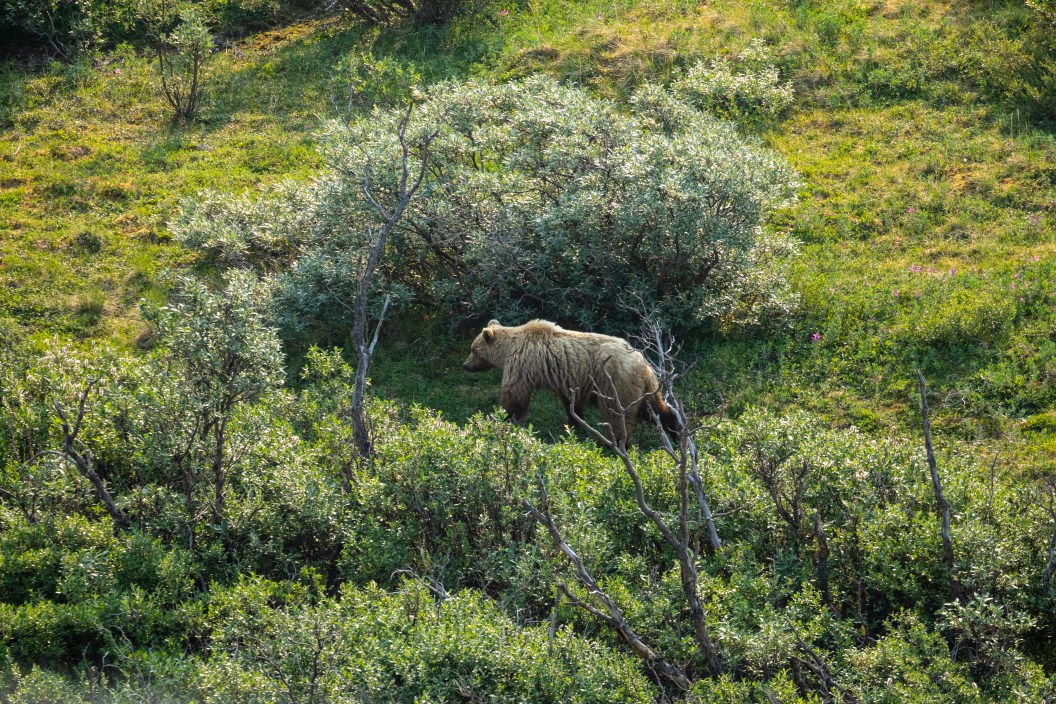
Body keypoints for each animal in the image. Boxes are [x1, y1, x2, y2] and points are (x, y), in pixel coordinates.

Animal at [462, 319, 680, 445]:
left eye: (473, 350)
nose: (465, 365)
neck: (508, 351)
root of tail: (643, 363)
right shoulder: (567, 380)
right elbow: (570, 405)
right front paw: (573, 425)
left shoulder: (521, 367)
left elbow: (515, 399)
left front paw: (504, 420)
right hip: (642, 388)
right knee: (653, 409)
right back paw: (675, 430)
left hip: (615, 384)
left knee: (617, 415)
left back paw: (616, 444)